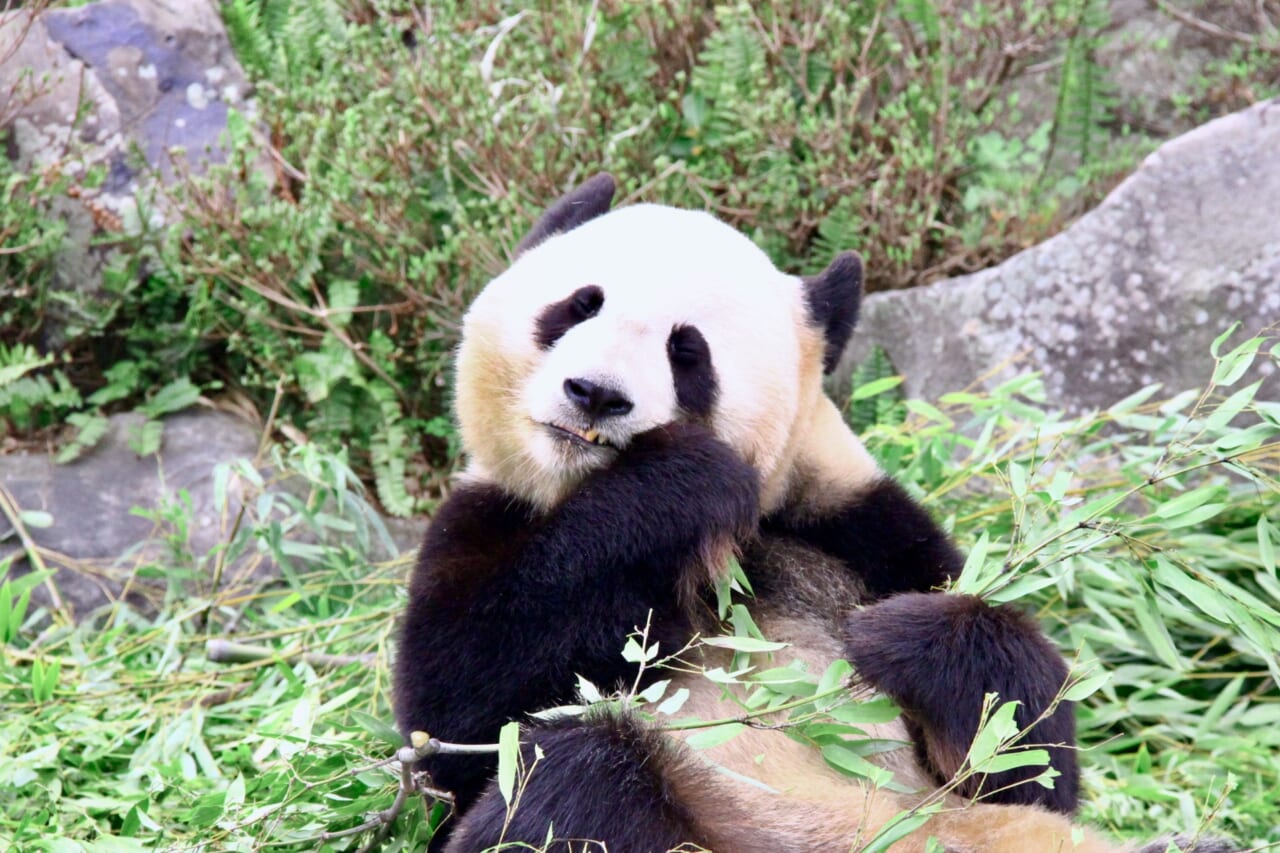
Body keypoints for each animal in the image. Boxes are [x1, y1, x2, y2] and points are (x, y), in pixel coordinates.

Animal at [393, 174, 1232, 853]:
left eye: (687, 353)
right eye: (578, 306)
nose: (596, 394)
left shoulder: (859, 529)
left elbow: (1029, 759)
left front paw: (902, 637)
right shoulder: (486, 518)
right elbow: (461, 726)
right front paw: (680, 484)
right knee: (575, 776)